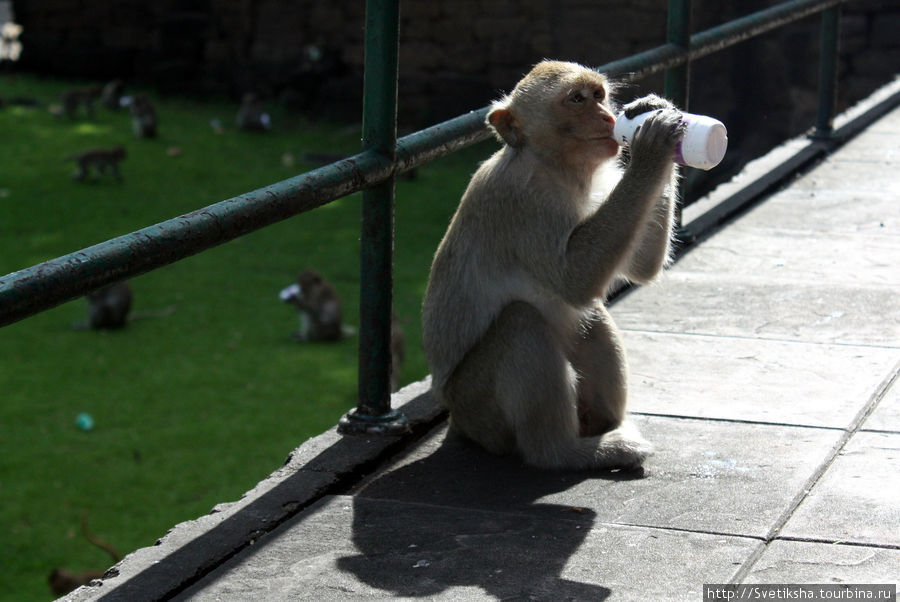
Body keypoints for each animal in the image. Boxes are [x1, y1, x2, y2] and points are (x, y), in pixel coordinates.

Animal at [422, 62, 684, 474]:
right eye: (576, 99)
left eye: (599, 95)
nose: (609, 117)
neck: (555, 166)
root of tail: (455, 421)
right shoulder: (522, 200)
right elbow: (574, 280)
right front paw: (652, 147)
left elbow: (639, 269)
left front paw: (653, 109)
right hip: (477, 409)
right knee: (522, 323)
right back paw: (564, 452)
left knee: (589, 317)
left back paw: (603, 427)